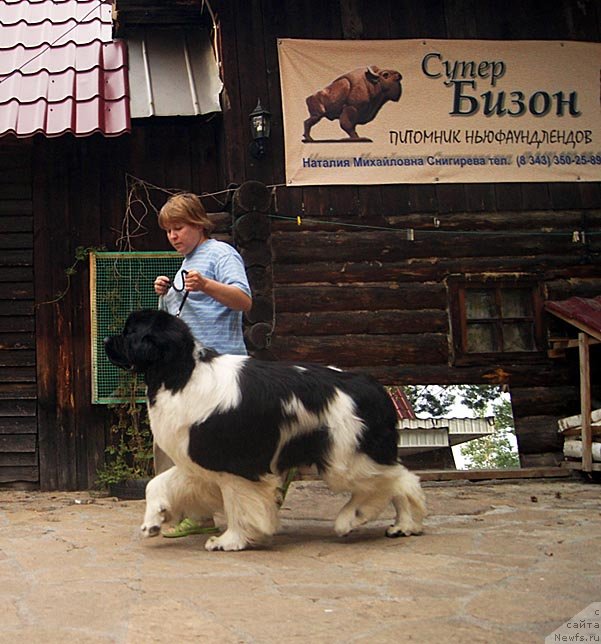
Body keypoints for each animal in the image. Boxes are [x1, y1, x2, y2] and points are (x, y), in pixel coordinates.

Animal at [104, 310, 426, 552]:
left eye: (130, 333)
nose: (107, 338)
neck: (180, 375)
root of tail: (372, 386)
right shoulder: (198, 457)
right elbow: (156, 483)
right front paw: (153, 521)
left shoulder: (235, 466)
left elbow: (239, 505)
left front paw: (230, 541)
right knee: (399, 479)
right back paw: (404, 526)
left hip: (343, 457)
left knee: (393, 481)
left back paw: (354, 519)